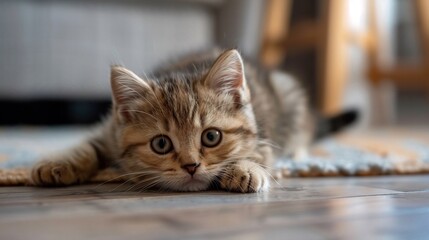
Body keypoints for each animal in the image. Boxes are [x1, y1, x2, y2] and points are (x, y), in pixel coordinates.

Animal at [30, 49, 310, 193]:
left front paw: (247, 169)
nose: (191, 166)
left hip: (289, 94)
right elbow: (85, 147)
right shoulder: (109, 130)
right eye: (161, 144)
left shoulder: (262, 135)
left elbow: (259, 153)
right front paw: (58, 164)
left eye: (211, 136)